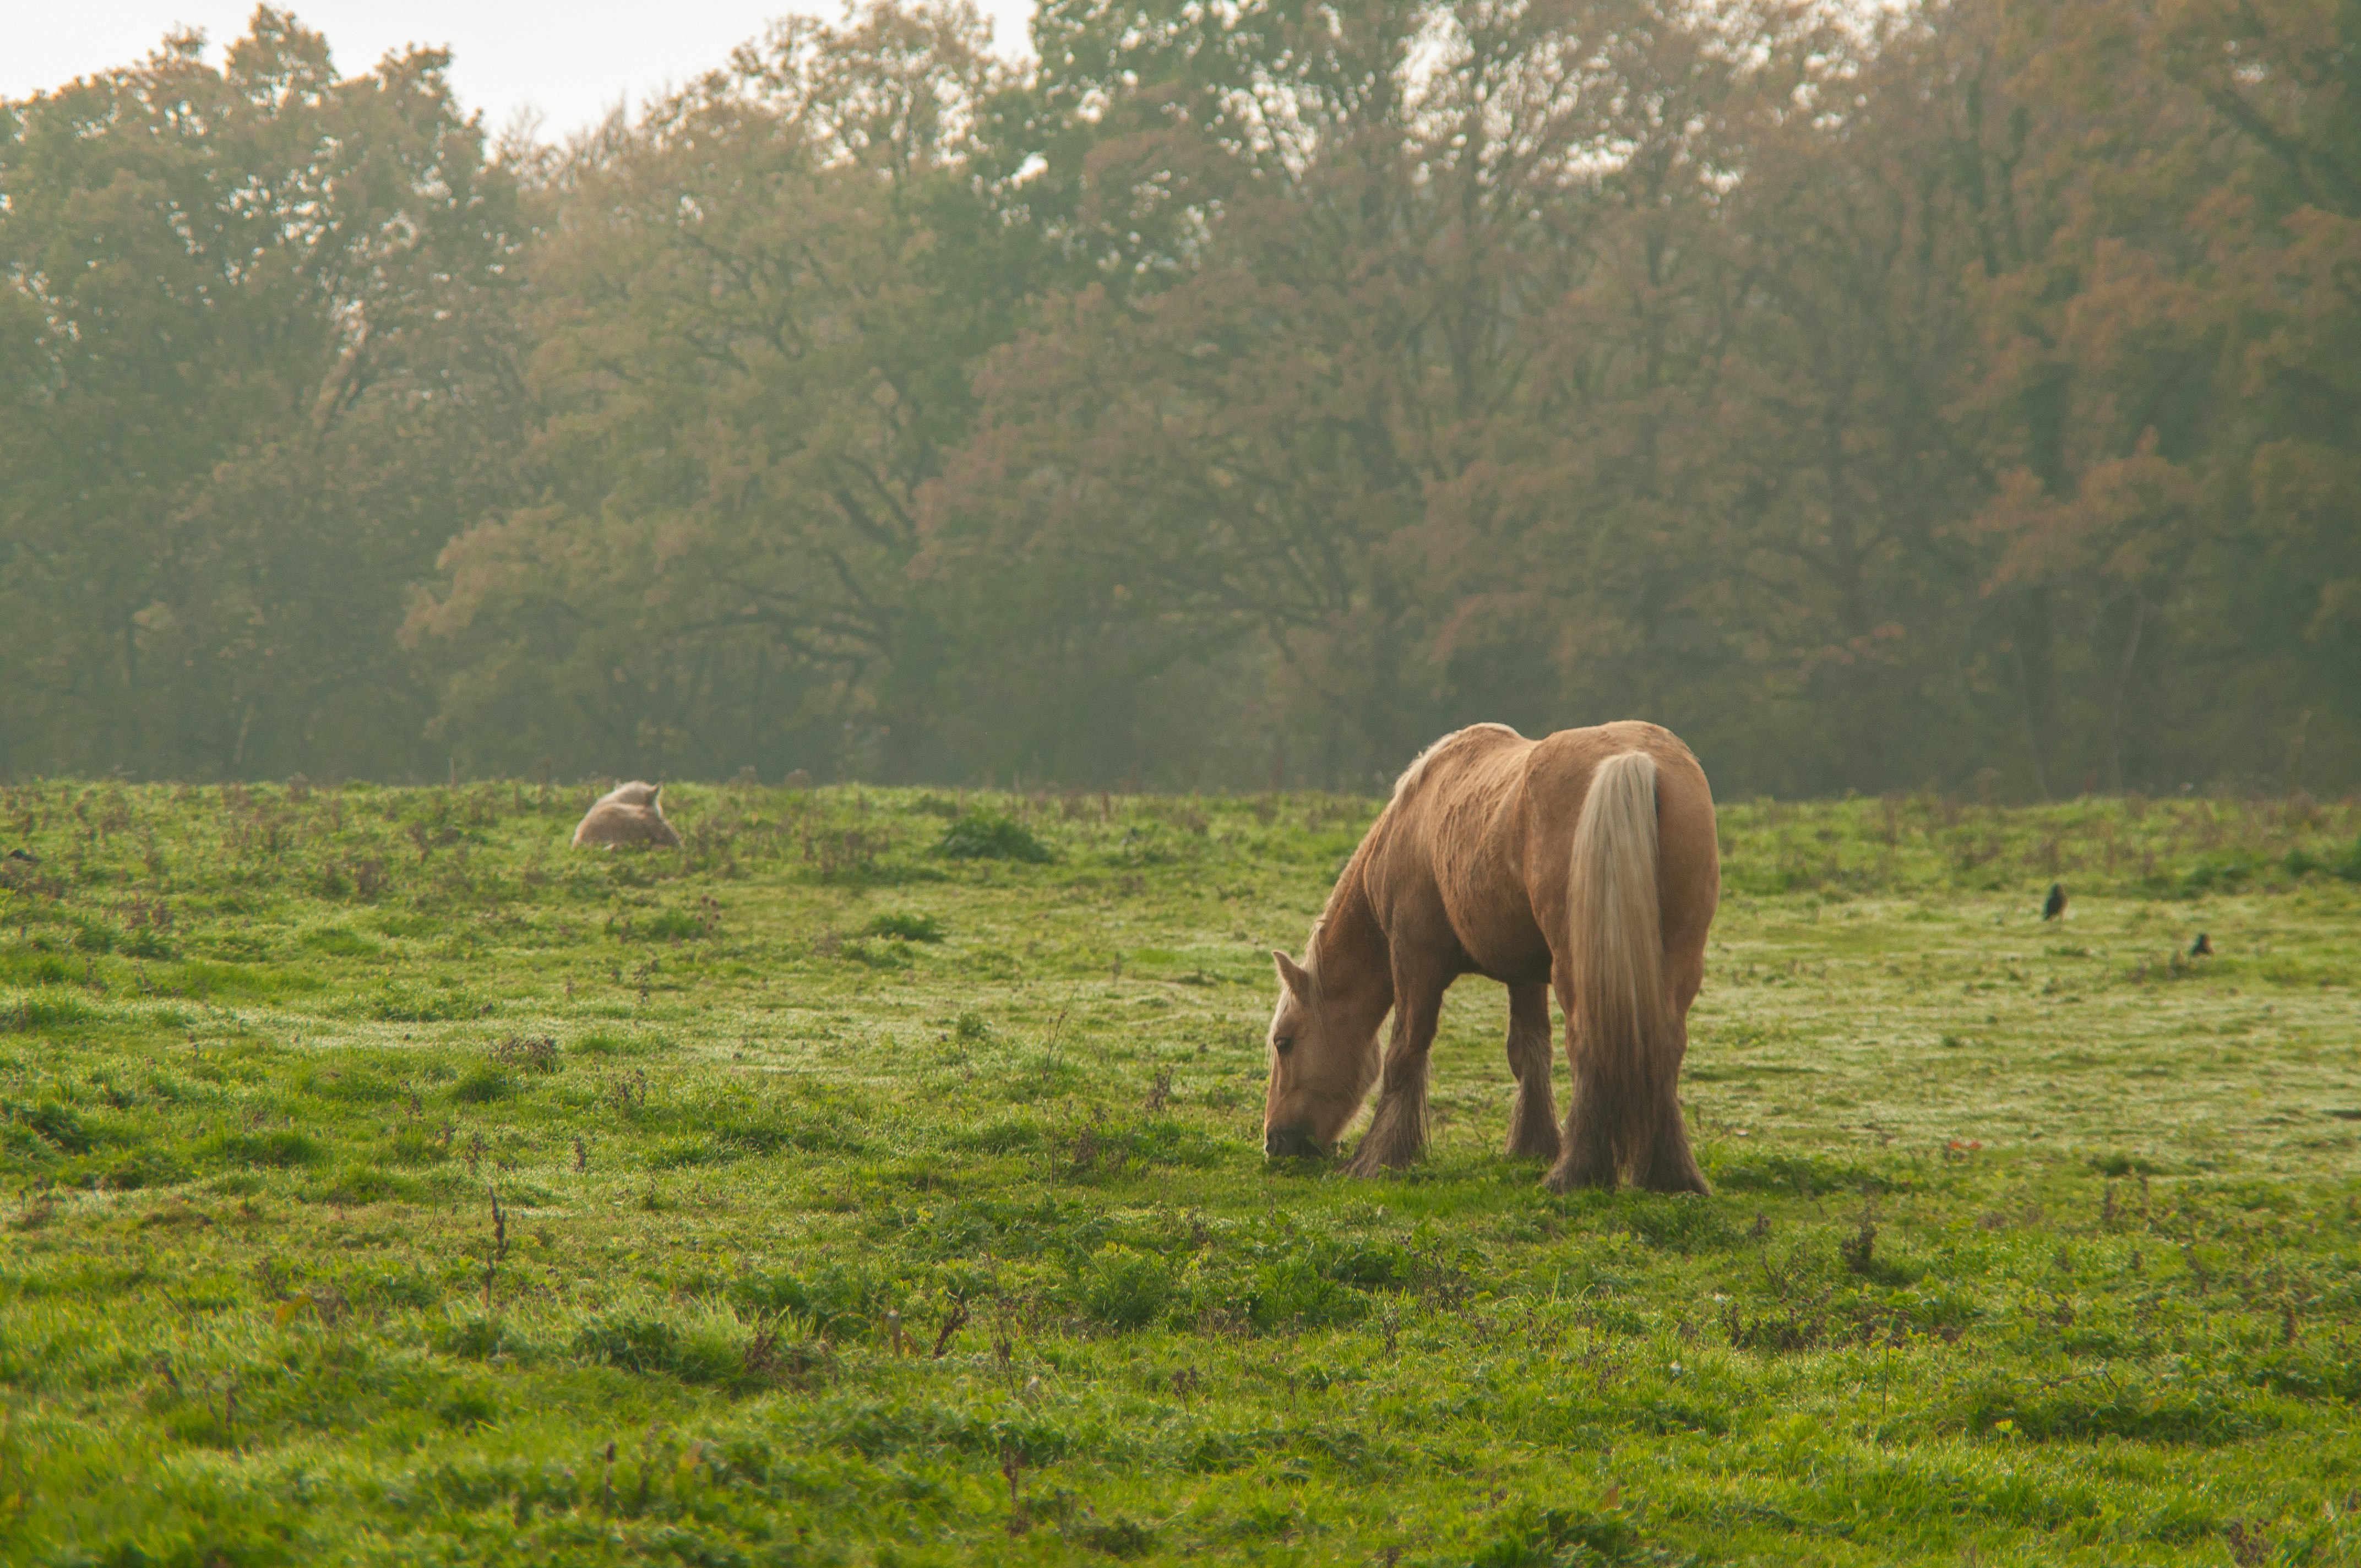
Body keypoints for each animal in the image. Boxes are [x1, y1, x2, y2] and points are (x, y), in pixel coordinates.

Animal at [1261, 721, 1720, 1192]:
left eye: (1284, 1042)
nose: (1274, 1141)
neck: (1412, 818)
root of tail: (1632, 761)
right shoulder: (1526, 974)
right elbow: (1531, 1052)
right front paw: (1533, 1145)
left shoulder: (1414, 957)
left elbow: (1405, 1052)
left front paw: (1377, 1159)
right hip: (1676, 960)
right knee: (1666, 1045)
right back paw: (1668, 1175)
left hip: (1577, 968)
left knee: (1587, 1048)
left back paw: (1575, 1173)